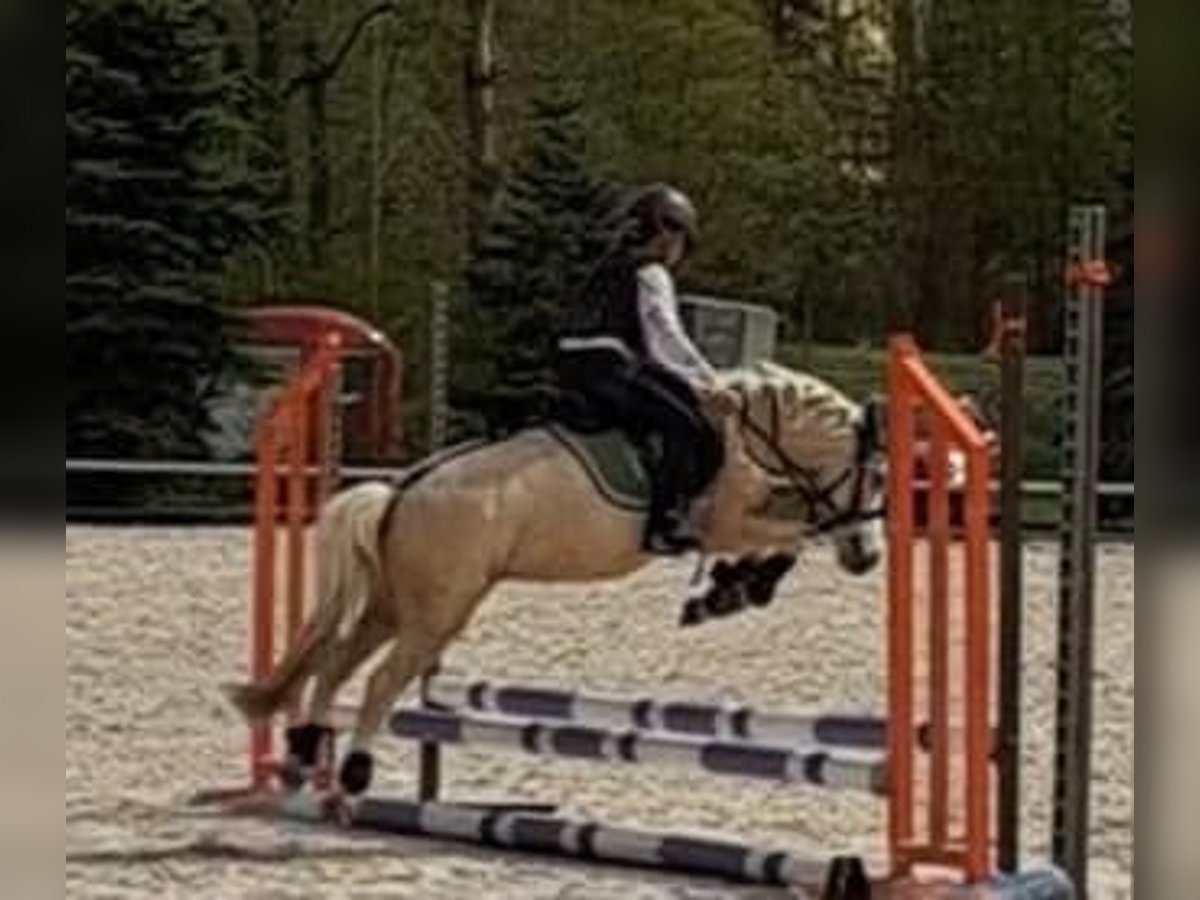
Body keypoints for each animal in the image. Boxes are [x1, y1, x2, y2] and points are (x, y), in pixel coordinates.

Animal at [225, 360, 888, 796]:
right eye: (876, 476)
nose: (869, 557)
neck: (747, 432)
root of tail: (401, 492)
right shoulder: (725, 523)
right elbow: (792, 540)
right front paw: (732, 590)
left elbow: (789, 538)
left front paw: (726, 590)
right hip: (439, 613)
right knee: (382, 678)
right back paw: (354, 769)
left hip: (393, 606)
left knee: (335, 661)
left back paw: (304, 751)